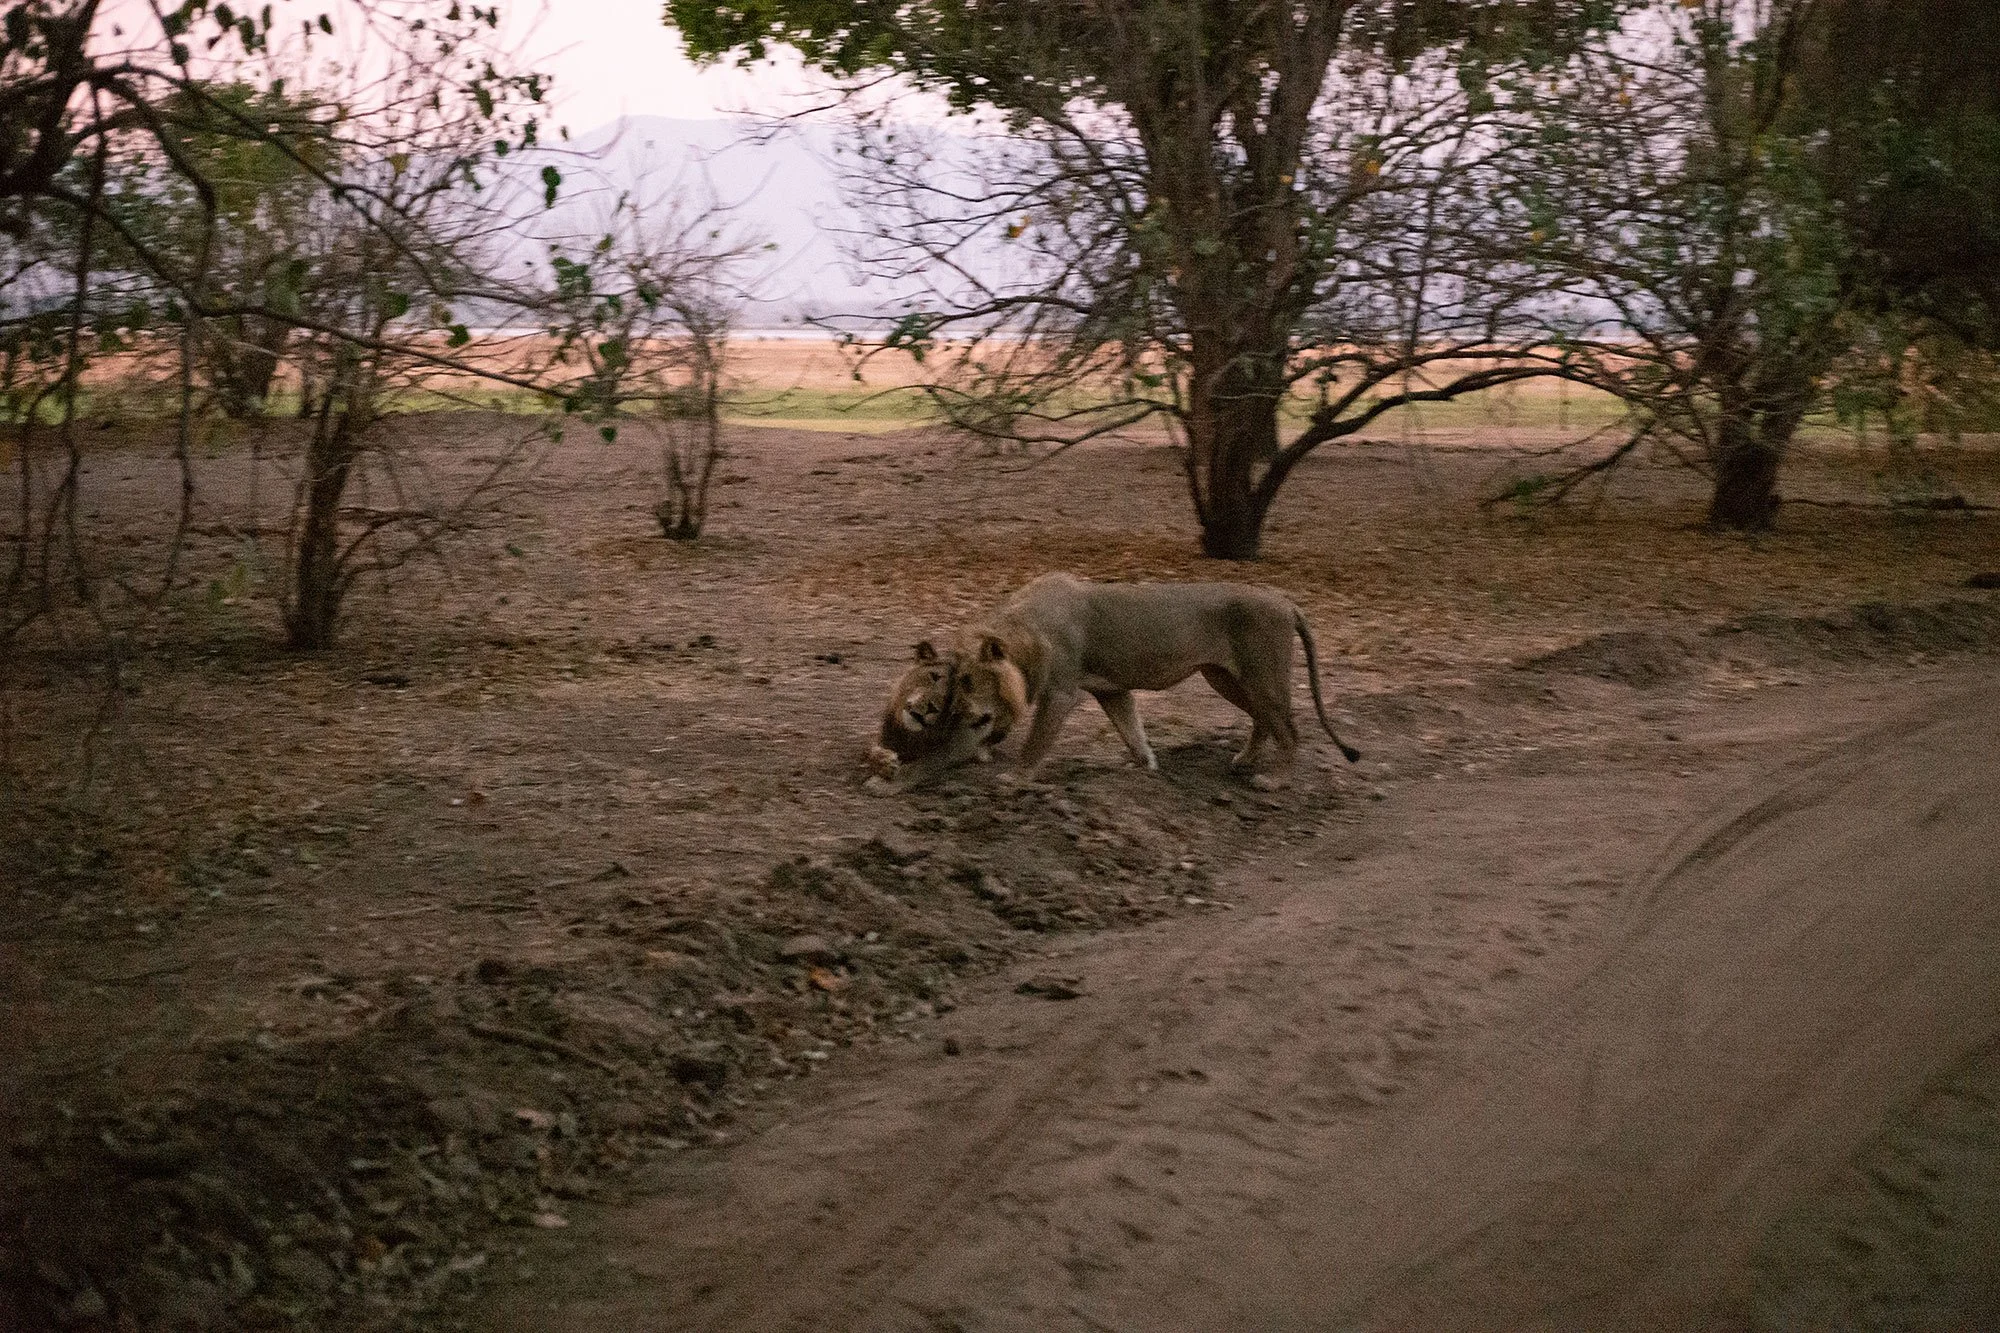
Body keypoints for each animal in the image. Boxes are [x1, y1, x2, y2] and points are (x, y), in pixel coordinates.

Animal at [869, 573, 1359, 790]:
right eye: (952, 684)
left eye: (970, 681)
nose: (948, 712)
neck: (1024, 635)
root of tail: (1286, 601)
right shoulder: (1112, 689)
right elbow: (1131, 729)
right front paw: (1145, 766)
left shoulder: (1061, 693)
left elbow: (1037, 740)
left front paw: (1017, 776)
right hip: (1225, 677)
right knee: (1262, 719)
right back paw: (1244, 760)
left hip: (1262, 675)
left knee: (1289, 728)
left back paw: (1274, 781)